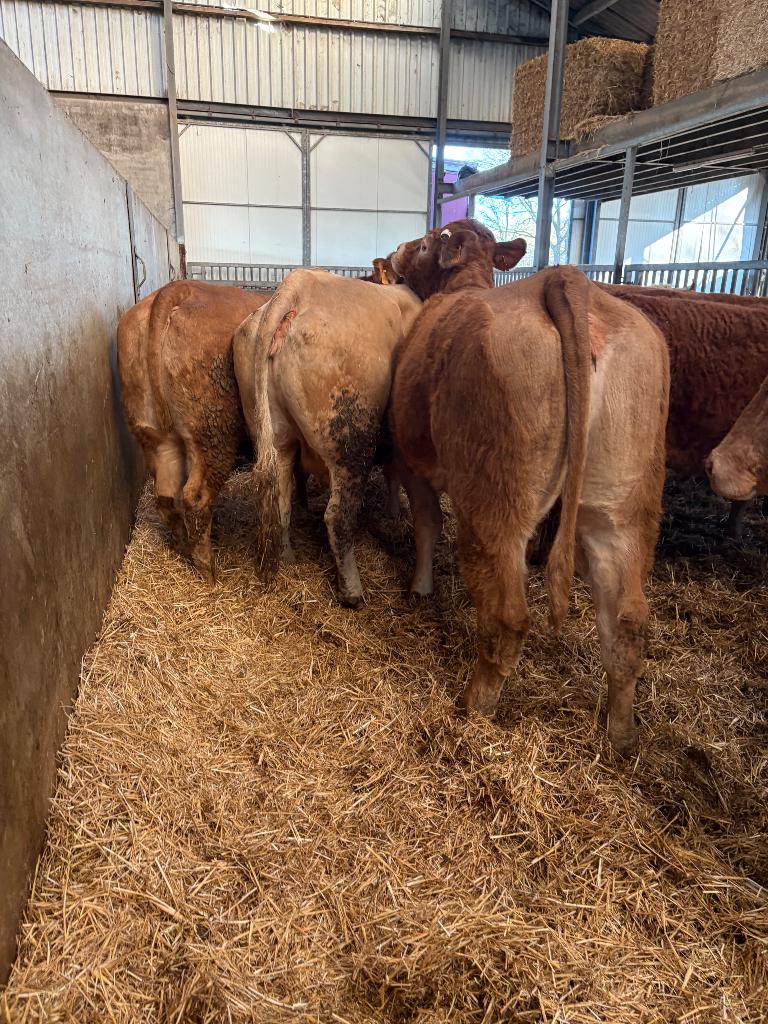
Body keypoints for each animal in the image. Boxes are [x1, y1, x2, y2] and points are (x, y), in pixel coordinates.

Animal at [117, 280, 269, 579]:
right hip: (212, 433)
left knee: (166, 495)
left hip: (152, 434)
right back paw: (207, 568)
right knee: (195, 498)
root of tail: (180, 288)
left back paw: (181, 548)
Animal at [232, 269, 421, 607]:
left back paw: (287, 559)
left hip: (274, 436)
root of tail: (299, 285)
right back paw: (352, 591)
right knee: (337, 517)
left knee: (280, 499)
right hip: (350, 439)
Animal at [388, 220, 669, 756]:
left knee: (507, 617)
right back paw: (621, 734)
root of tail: (562, 279)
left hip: (495, 500)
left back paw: (473, 707)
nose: (395, 252)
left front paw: (419, 588)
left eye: (426, 241)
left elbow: (428, 525)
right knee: (626, 620)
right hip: (623, 503)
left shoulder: (413, 460)